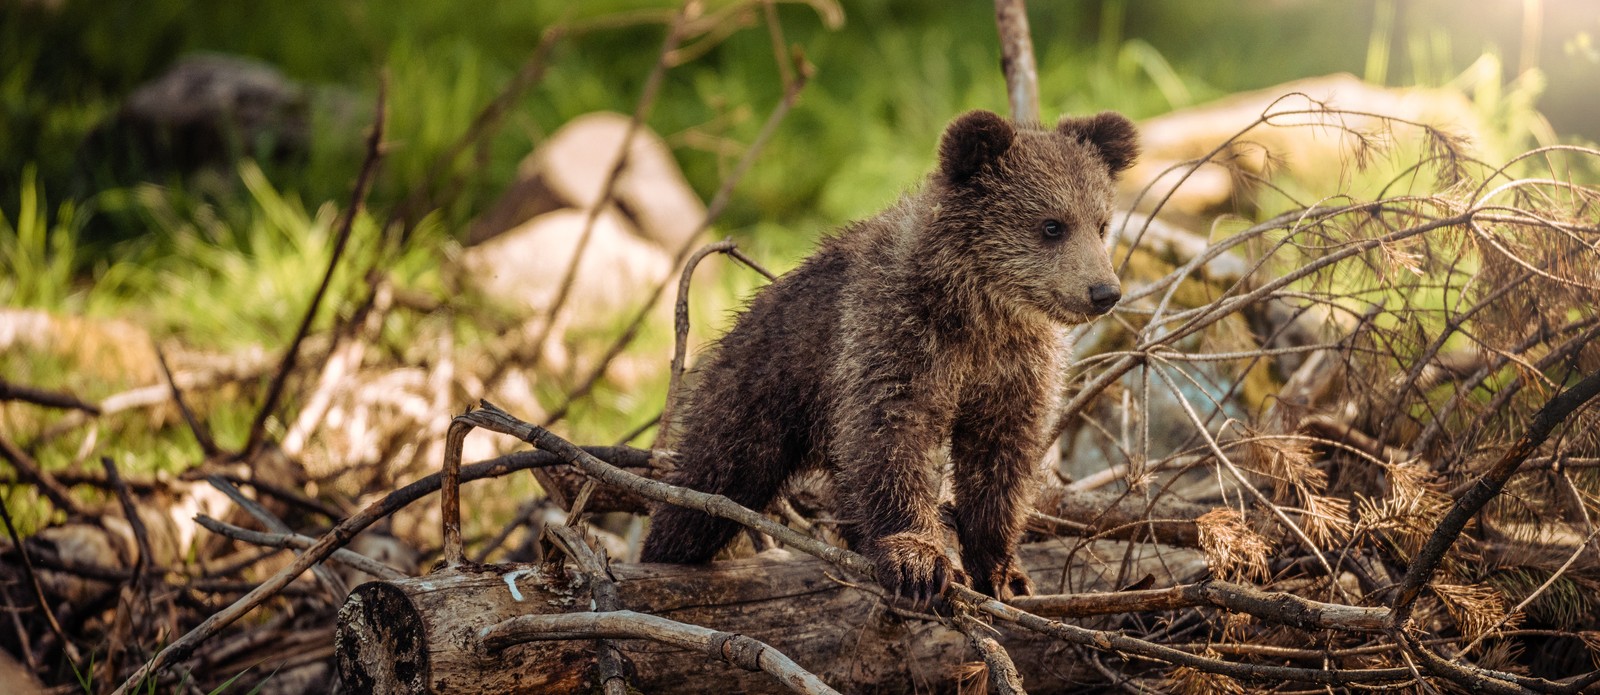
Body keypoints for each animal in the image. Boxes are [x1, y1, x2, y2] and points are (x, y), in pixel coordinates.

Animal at [639, 109, 1138, 602]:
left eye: (1101, 223)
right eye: (1052, 225)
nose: (1104, 292)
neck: (979, 313)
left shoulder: (1014, 368)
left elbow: (1001, 458)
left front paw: (1003, 571)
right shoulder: (896, 337)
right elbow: (891, 437)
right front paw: (918, 561)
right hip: (758, 392)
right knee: (709, 484)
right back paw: (665, 552)